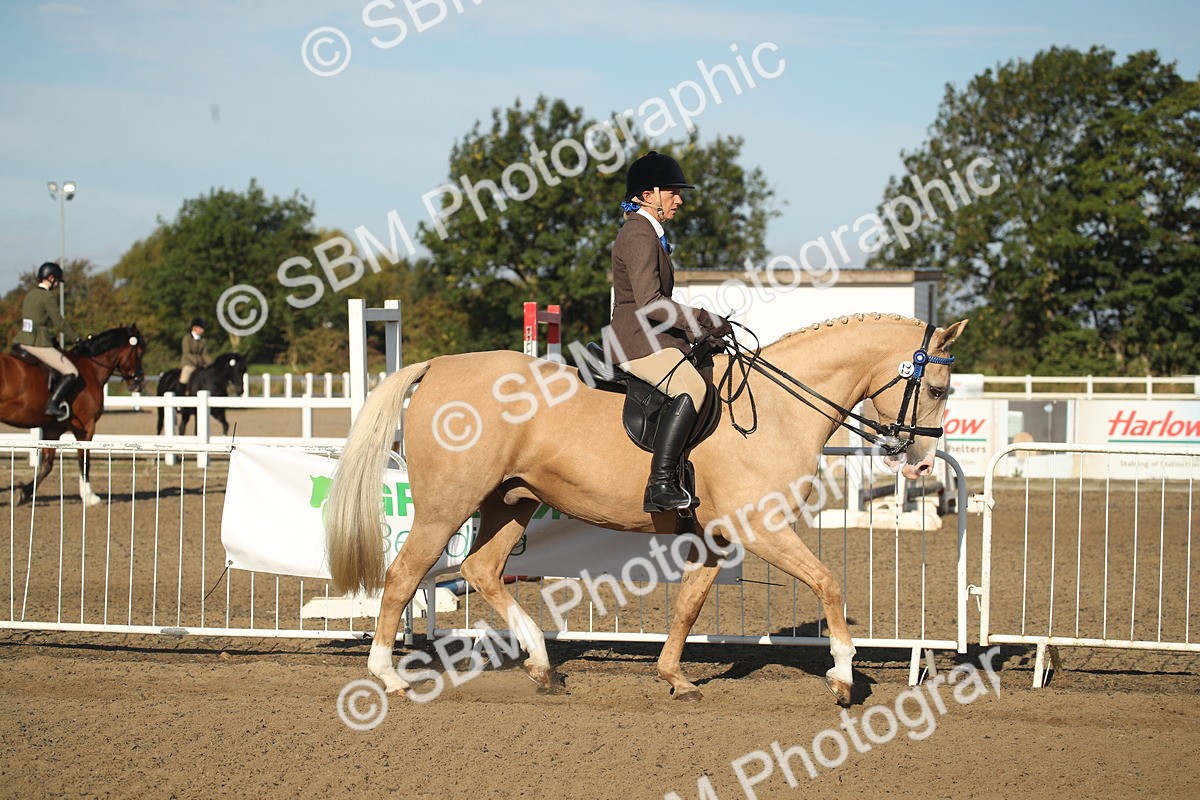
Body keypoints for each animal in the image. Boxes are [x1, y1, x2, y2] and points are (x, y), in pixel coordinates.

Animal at [0, 325, 146, 506]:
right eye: (139, 352)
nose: (139, 383)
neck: (91, 369)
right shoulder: (87, 426)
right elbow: (84, 461)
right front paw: (90, 497)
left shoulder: (52, 430)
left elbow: (47, 465)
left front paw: (24, 494)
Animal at [323, 313, 967, 706]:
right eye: (937, 390)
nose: (921, 466)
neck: (779, 409)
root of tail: (439, 366)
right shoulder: (762, 528)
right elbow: (829, 583)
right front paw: (842, 676)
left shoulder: (716, 537)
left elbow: (688, 605)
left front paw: (675, 677)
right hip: (446, 506)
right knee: (404, 575)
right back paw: (387, 675)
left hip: (511, 502)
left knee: (481, 570)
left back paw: (542, 666)